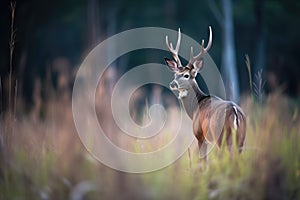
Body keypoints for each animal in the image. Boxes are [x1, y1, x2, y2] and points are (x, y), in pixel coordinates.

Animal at [164, 27, 246, 162]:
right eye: (175, 74)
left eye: (186, 75)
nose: (172, 84)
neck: (195, 109)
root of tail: (235, 112)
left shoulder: (200, 135)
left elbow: (203, 161)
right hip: (241, 138)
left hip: (221, 136)